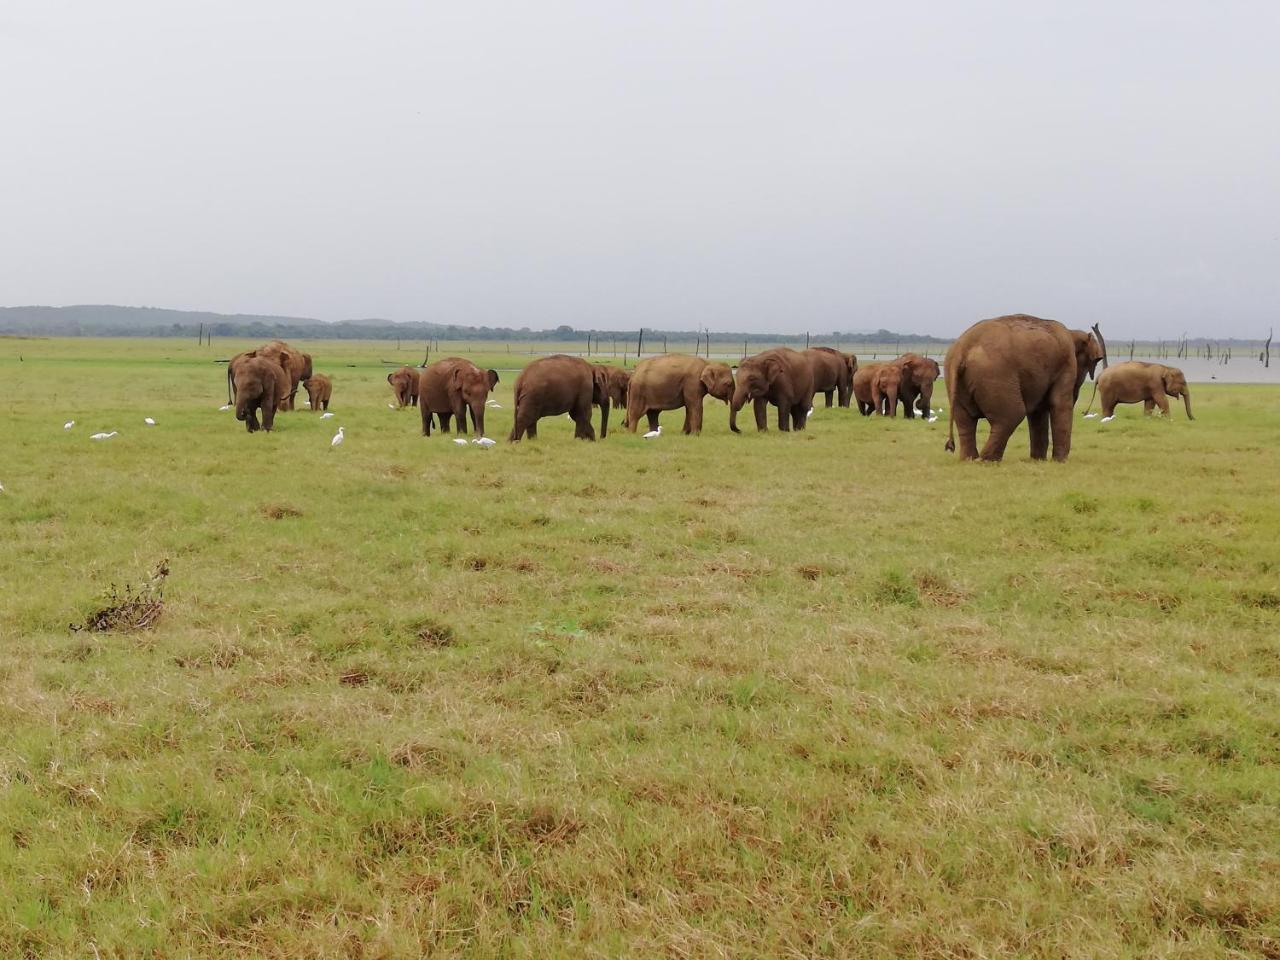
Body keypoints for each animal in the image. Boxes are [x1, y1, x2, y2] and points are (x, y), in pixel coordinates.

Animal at [947, 316, 1105, 463]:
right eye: (1095, 362)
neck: (1073, 333)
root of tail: (961, 351)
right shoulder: (1067, 364)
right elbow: (1059, 404)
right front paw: (1060, 462)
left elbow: (1038, 412)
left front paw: (1038, 460)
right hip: (995, 376)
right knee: (1012, 415)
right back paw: (986, 461)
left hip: (959, 383)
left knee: (964, 421)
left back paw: (970, 460)